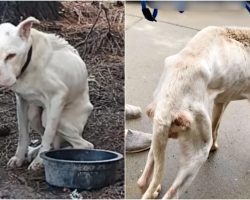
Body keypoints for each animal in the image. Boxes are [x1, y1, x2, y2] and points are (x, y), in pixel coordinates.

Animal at [0, 17, 93, 170]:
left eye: (11, 56)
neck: (29, 63)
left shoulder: (57, 97)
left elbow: (49, 134)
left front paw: (39, 161)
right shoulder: (21, 100)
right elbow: (23, 134)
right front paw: (19, 157)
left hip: (53, 117)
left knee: (84, 145)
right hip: (34, 115)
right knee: (54, 142)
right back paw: (34, 151)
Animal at [137, 26, 250, 198]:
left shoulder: (221, 100)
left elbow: (216, 125)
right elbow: (216, 127)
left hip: (158, 134)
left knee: (146, 175)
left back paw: (153, 188)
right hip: (197, 155)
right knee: (171, 193)